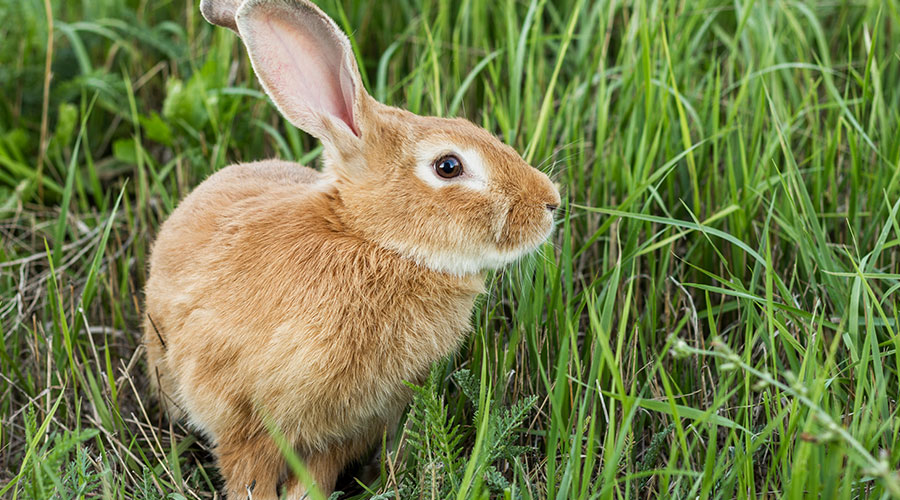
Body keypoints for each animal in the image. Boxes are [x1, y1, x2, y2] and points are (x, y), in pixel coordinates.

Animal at [143, 0, 560, 498]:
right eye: (448, 166)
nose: (550, 203)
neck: (371, 240)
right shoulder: (240, 414)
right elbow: (248, 474)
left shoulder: (349, 427)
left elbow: (317, 475)